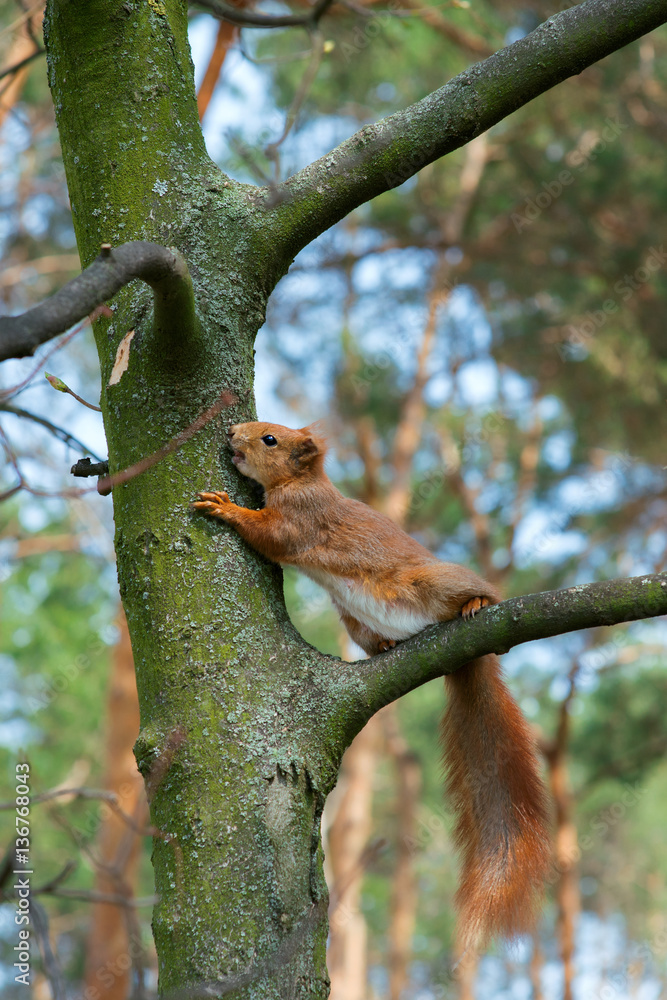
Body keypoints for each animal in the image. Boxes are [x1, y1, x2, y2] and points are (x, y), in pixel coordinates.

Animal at [193, 421, 551, 952]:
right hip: (355, 621)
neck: (302, 482)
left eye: (271, 439)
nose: (234, 430)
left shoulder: (302, 520)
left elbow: (269, 535)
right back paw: (385, 645)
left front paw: (226, 508)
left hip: (435, 580)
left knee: (471, 589)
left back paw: (478, 602)